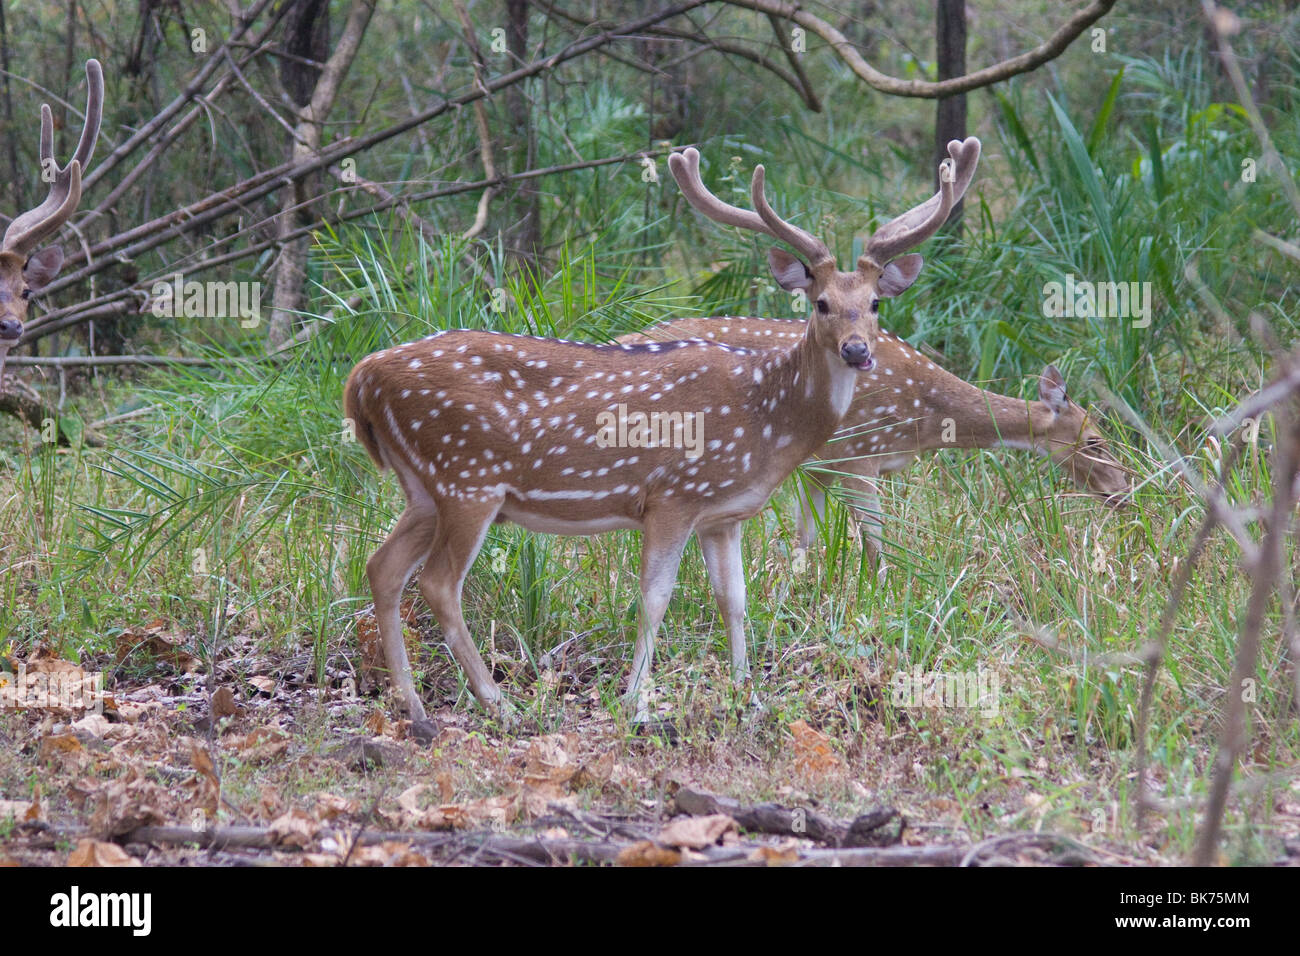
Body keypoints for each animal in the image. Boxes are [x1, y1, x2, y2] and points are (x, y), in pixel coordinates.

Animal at [344, 137, 981, 732]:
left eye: (873, 303)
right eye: (819, 303)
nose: (857, 350)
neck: (765, 422)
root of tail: (360, 379)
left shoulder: (722, 513)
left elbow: (734, 599)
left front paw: (744, 693)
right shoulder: (672, 494)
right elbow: (654, 599)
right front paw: (637, 702)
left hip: (424, 489)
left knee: (382, 567)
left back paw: (415, 709)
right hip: (468, 477)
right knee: (438, 583)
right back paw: (500, 705)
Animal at [618, 317, 1130, 566]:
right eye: (1096, 441)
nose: (1125, 493)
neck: (926, 418)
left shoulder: (820, 466)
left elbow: (805, 541)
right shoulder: (858, 453)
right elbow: (877, 542)